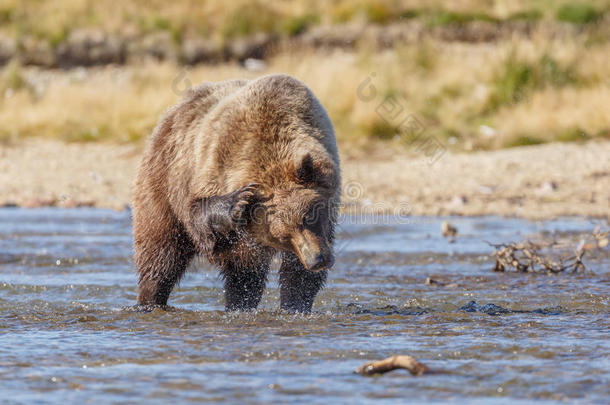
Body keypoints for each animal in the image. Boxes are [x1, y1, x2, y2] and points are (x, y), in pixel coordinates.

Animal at [132, 73, 340, 312]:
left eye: (308, 217)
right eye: (281, 236)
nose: (317, 259)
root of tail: (171, 112)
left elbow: (297, 273)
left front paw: (294, 305)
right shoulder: (213, 164)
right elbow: (197, 211)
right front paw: (238, 201)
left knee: (244, 276)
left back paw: (239, 304)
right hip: (163, 178)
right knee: (160, 252)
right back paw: (150, 299)